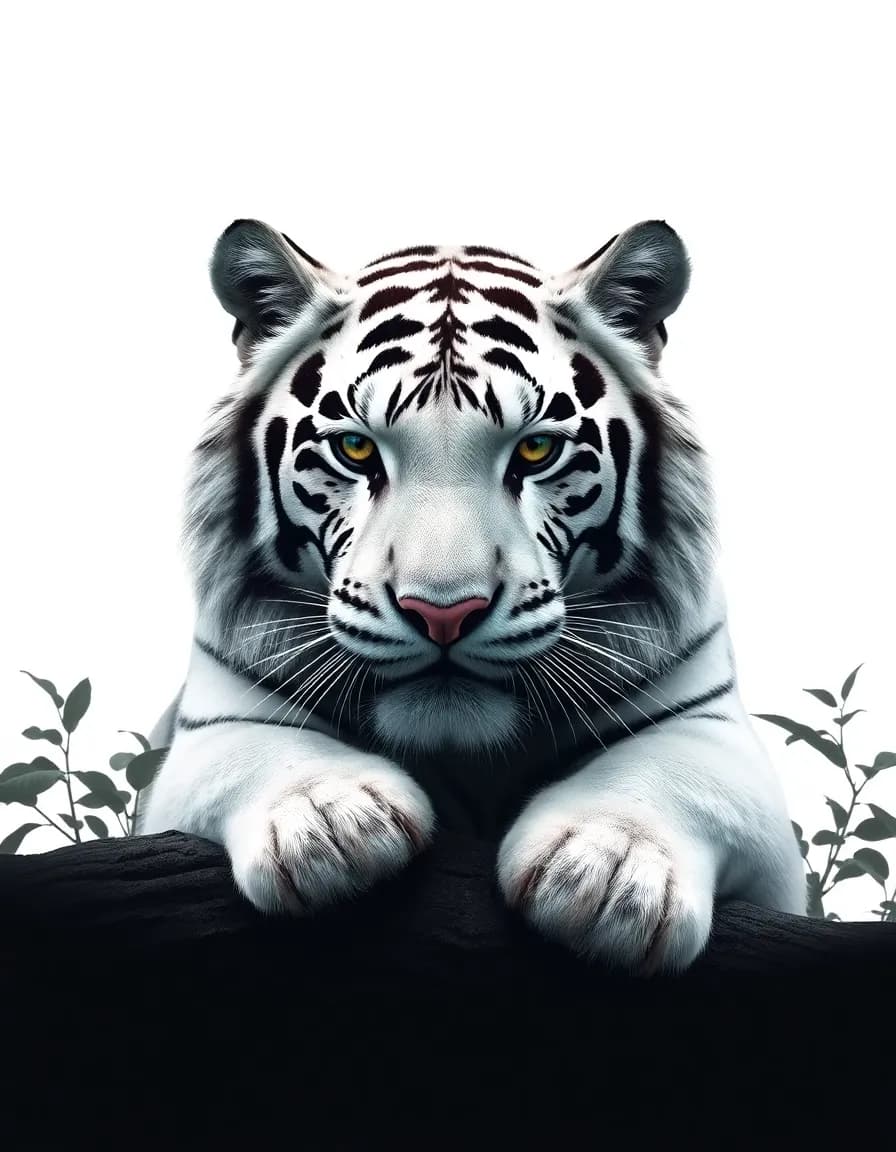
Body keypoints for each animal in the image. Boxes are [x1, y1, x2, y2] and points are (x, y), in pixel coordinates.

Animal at [140, 217, 805, 973]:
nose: (443, 613)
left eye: (538, 451)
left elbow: (674, 771)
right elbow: (255, 750)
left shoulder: (716, 733)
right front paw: (330, 822)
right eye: (356, 451)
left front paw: (607, 874)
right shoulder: (212, 718)